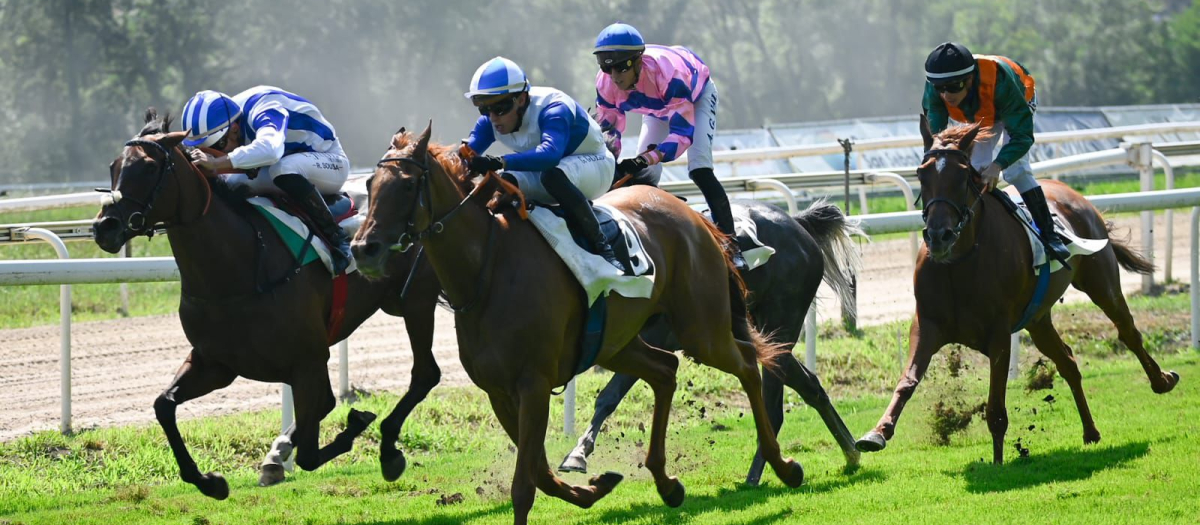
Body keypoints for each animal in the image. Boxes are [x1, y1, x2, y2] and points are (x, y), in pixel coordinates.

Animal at [91, 109, 444, 496]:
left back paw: (387, 451)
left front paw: (356, 425)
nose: (105, 226)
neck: (238, 270)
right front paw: (209, 481)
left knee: (425, 373)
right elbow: (163, 405)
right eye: (113, 166)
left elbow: (311, 452)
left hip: (415, 301)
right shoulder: (216, 362)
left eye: (148, 168)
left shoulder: (307, 360)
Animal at [350, 124, 811, 525]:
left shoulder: (533, 384)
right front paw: (594, 488)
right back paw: (667, 483)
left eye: (407, 185)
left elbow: (525, 484)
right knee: (666, 370)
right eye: (370, 185)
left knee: (747, 364)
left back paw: (783, 466)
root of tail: (696, 218)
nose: (363, 248)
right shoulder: (499, 391)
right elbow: (539, 473)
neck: (489, 267)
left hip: (701, 328)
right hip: (618, 342)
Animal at [559, 197, 864, 484]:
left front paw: (577, 454)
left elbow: (610, 395)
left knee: (774, 407)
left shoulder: (653, 338)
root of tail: (798, 223)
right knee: (809, 385)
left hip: (780, 322)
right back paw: (851, 450)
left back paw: (758, 475)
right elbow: (608, 395)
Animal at [854, 116, 1180, 460]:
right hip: (1037, 318)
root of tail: (1074, 195)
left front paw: (998, 463)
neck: (958, 263)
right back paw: (1090, 431)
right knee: (1068, 362)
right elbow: (908, 379)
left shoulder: (999, 333)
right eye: (921, 172)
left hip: (1101, 283)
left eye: (963, 174)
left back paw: (1161, 381)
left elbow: (996, 408)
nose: (938, 235)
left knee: (1127, 331)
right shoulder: (927, 324)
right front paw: (877, 433)